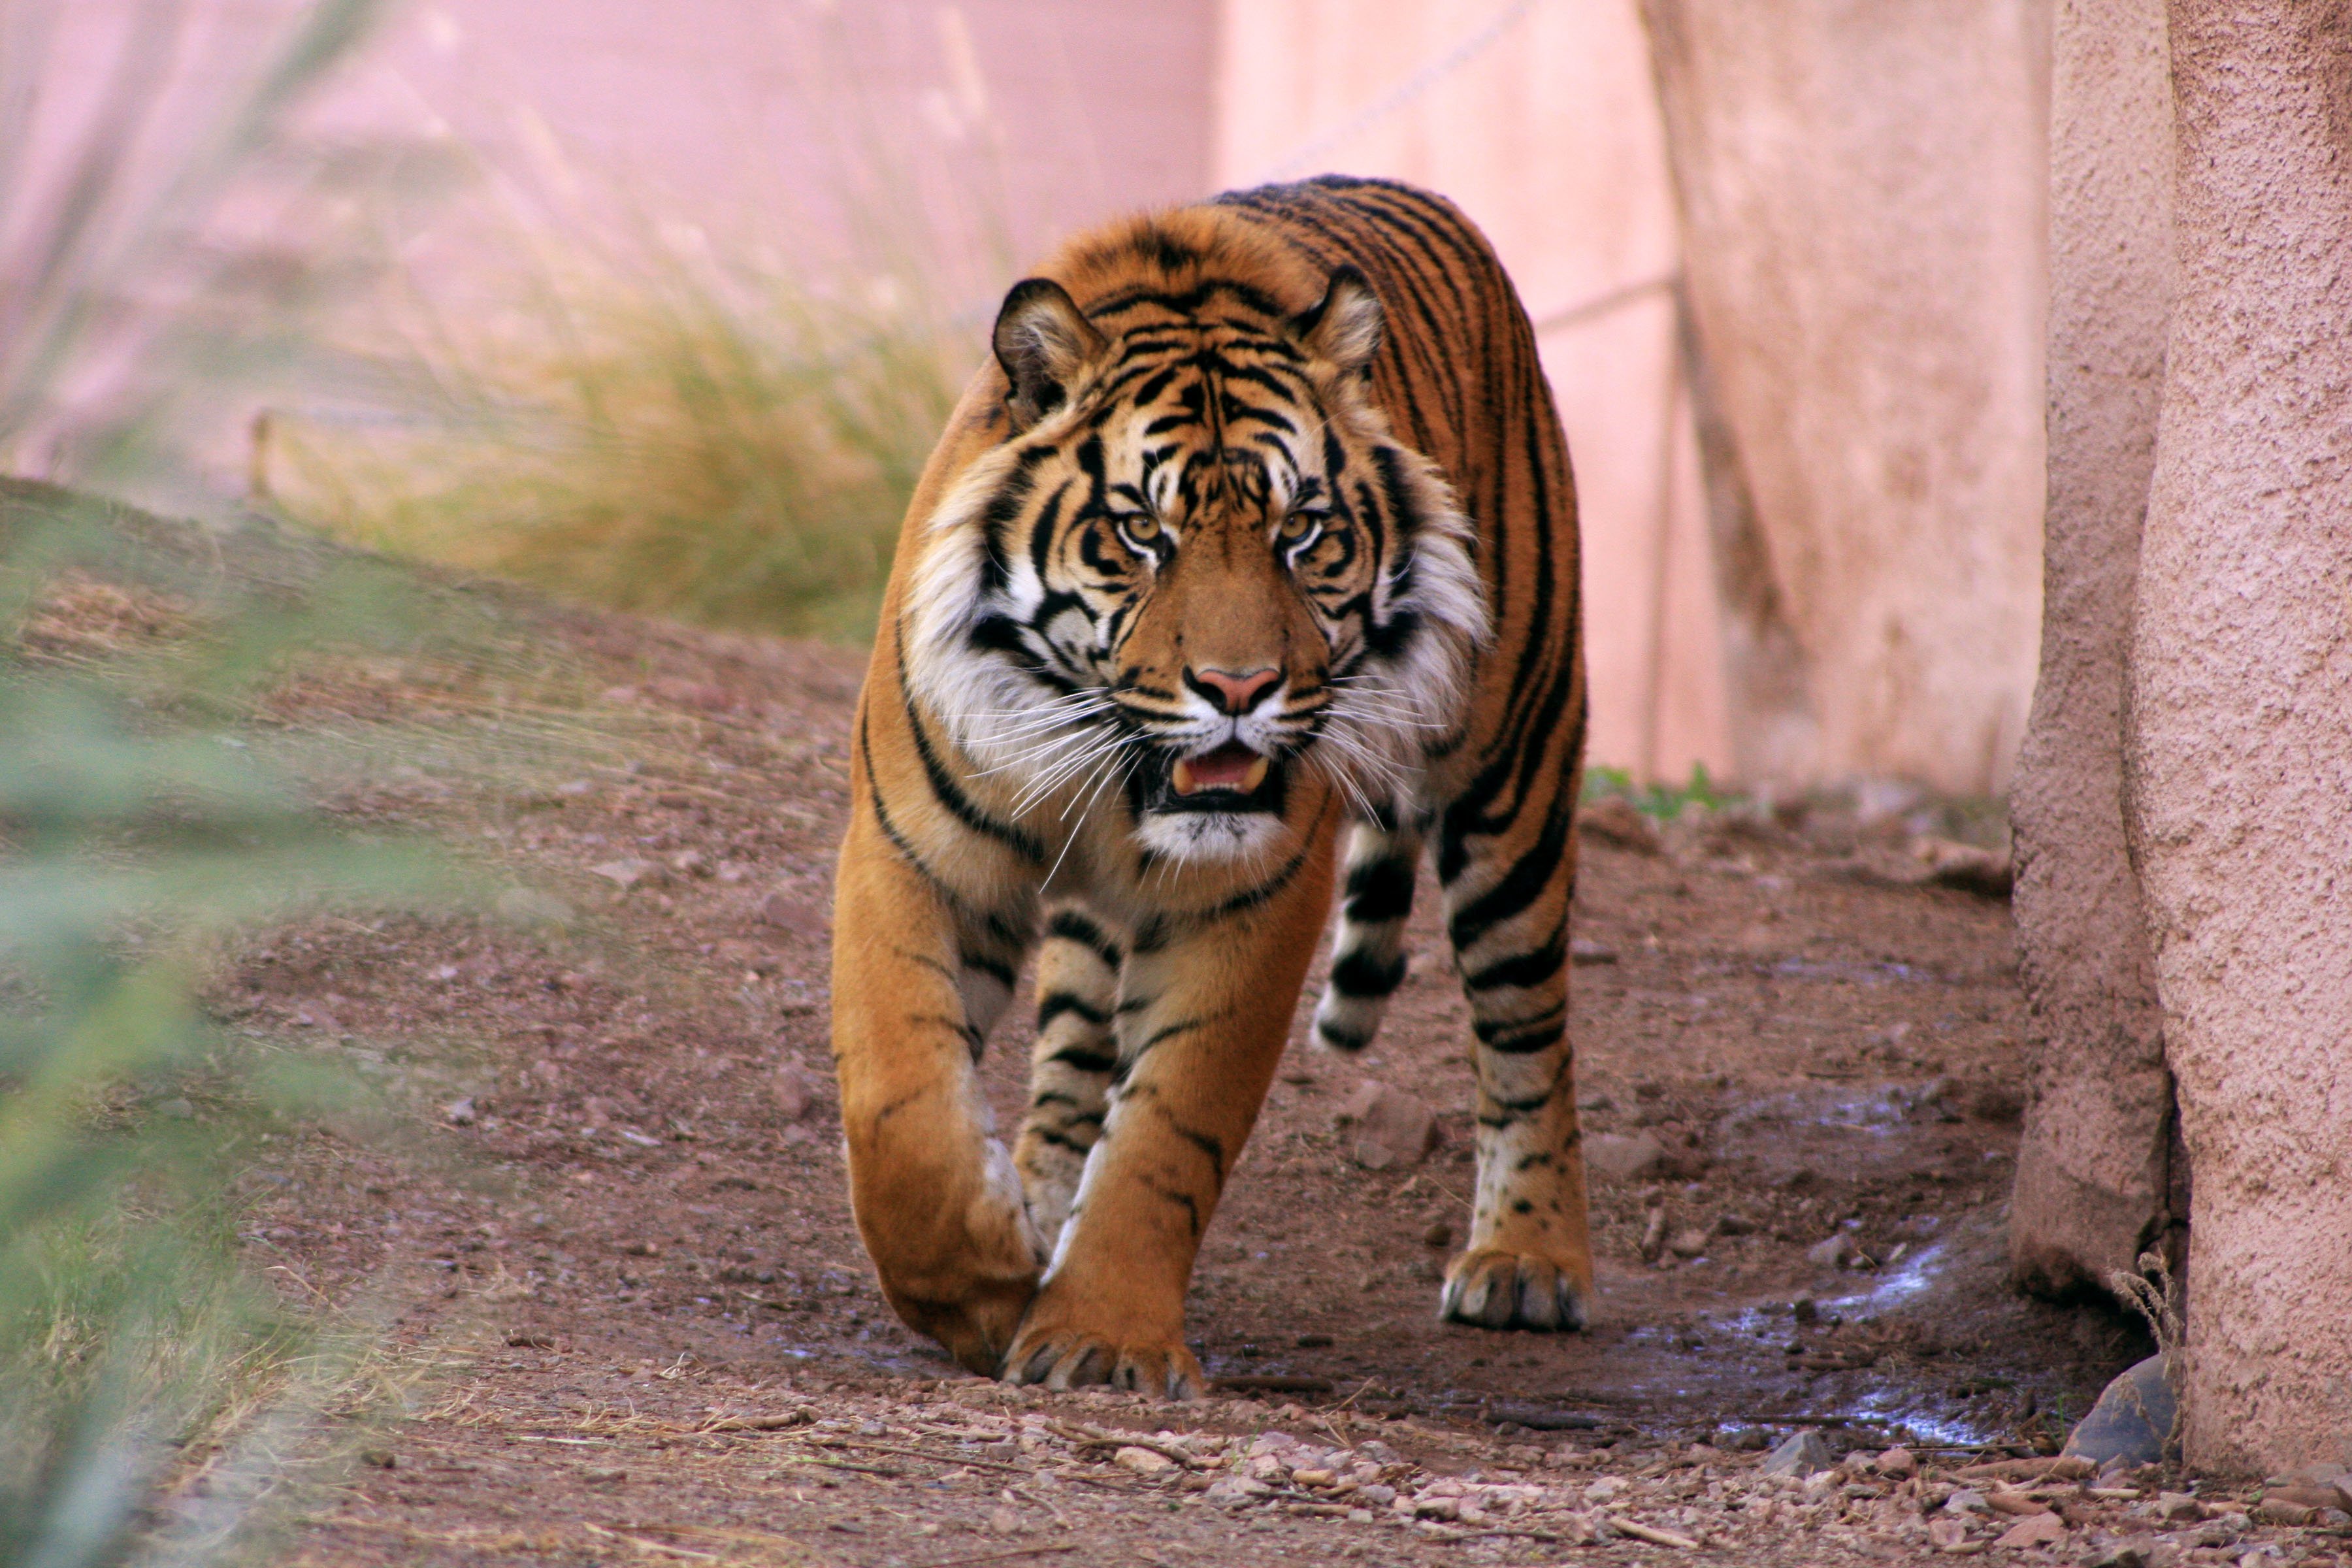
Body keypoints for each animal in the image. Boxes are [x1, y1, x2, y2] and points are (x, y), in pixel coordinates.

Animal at [832, 175, 1599, 1401]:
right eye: (1141, 533)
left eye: (1303, 532)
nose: (1239, 689)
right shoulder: (910, 853)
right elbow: (899, 1105)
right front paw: (989, 1276)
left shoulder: (1251, 903)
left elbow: (1167, 1136)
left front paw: (1100, 1340)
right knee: (1071, 1054)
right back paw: (1038, 1201)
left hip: (1514, 777)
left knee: (1528, 1031)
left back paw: (1528, 1261)